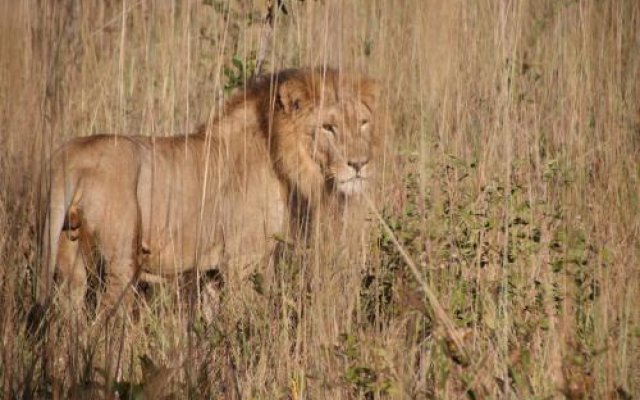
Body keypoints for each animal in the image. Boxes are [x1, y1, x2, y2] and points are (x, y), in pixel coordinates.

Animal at [32, 65, 378, 322]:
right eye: (329, 127)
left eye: (363, 123)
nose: (360, 164)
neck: (279, 152)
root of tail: (69, 158)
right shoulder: (243, 261)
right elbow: (243, 318)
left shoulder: (211, 270)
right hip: (121, 262)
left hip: (68, 256)